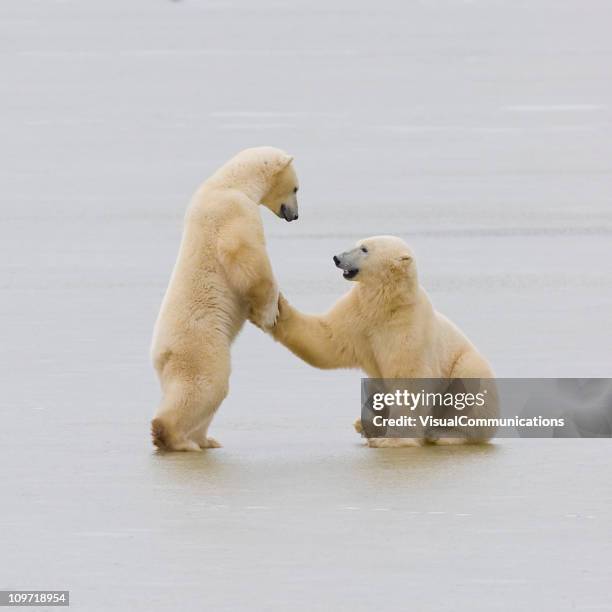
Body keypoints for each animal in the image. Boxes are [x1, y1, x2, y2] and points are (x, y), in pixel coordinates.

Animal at [151, 146, 298, 452]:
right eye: (296, 188)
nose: (295, 215)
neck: (228, 183)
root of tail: (161, 353)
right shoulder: (233, 211)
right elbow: (248, 256)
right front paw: (270, 312)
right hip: (201, 343)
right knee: (206, 385)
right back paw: (175, 438)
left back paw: (206, 439)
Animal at [272, 237, 498, 448]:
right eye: (357, 244)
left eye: (364, 249)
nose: (337, 258)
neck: (386, 304)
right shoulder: (357, 313)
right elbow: (328, 340)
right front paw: (279, 306)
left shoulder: (406, 326)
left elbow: (407, 379)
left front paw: (391, 441)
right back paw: (365, 425)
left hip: (467, 367)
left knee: (469, 391)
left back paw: (443, 434)